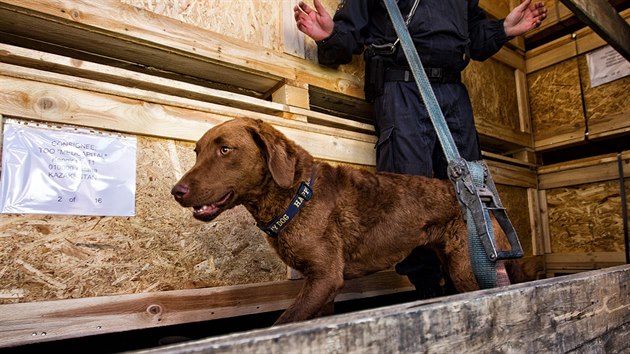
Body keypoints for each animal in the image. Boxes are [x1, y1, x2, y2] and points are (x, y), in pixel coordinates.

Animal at [172, 117, 524, 324]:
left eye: (225, 150)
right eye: (197, 151)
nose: (176, 191)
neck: (296, 194)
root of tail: (478, 194)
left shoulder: (326, 277)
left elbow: (284, 320)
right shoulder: (321, 286)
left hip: (468, 265)